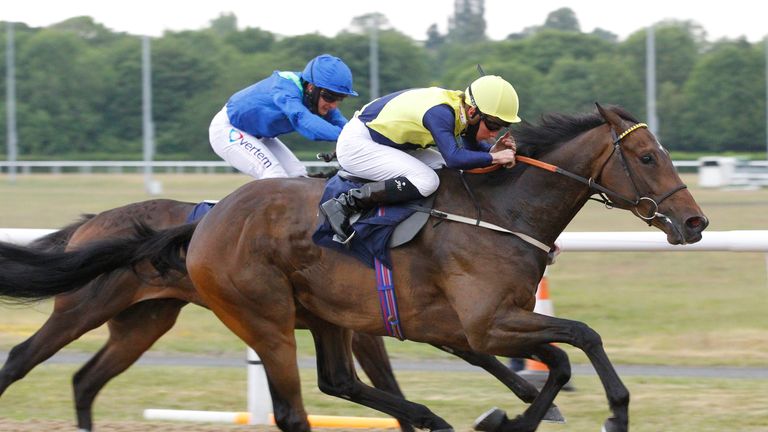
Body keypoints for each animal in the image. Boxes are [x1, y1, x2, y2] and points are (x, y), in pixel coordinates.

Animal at [0, 200, 552, 432]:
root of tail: (95, 221)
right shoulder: (373, 321)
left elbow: (463, 353)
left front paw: (527, 398)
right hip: (85, 307)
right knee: (22, 357)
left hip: (144, 323)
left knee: (86, 380)